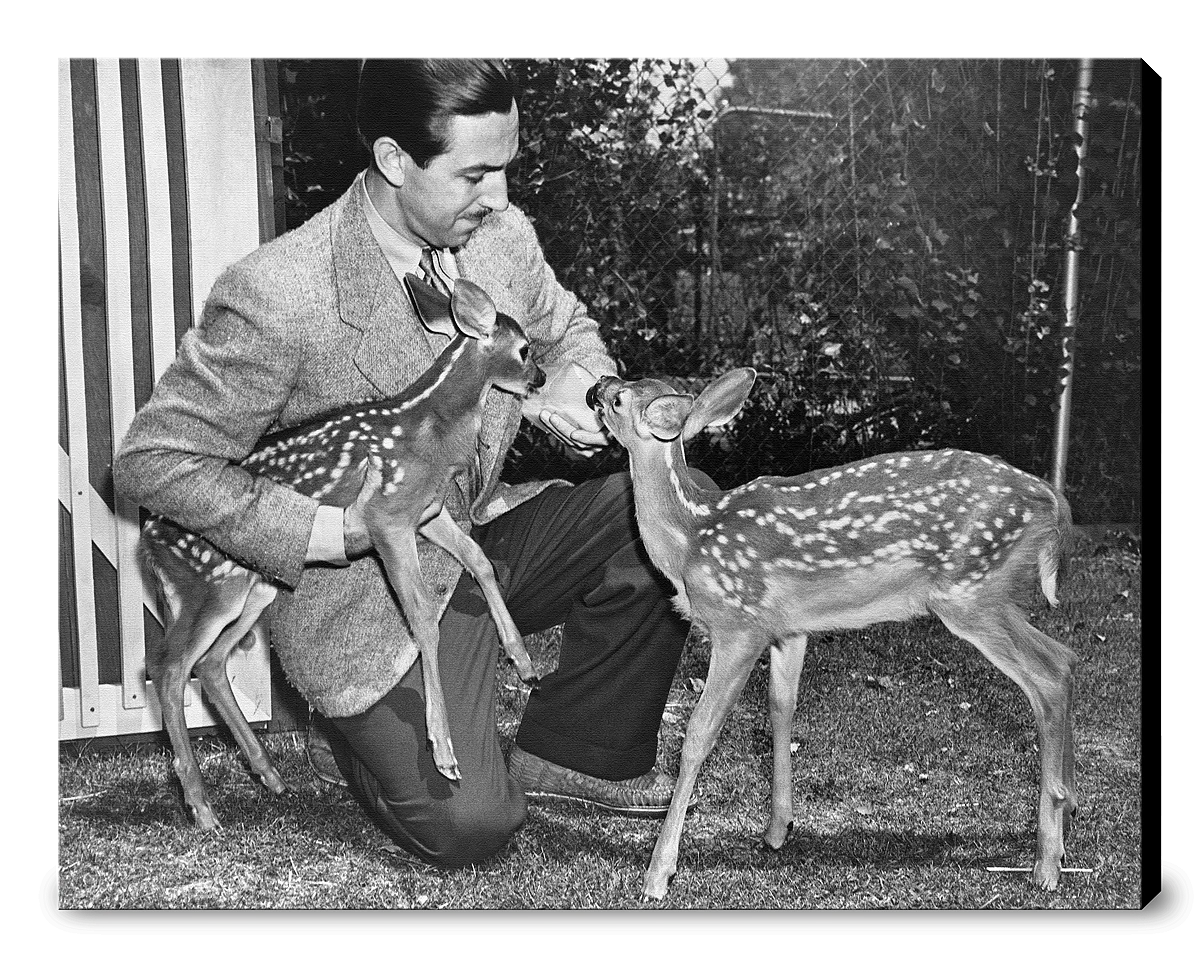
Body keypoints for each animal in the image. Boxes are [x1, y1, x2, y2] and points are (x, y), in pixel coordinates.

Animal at [140, 275, 543, 831]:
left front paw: (523, 661)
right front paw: (443, 751)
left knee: (213, 662)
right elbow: (422, 617)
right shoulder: (386, 515)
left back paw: (269, 775)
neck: (431, 424)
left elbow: (479, 561)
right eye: (524, 350)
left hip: (255, 588)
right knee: (167, 665)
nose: (541, 378)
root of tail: (148, 542)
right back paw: (201, 806)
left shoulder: (427, 511)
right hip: (207, 586)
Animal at [585, 368, 1078, 901]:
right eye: (623, 380)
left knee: (1048, 676)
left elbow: (698, 734)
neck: (690, 540)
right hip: (991, 595)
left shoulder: (740, 624)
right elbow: (780, 708)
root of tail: (1052, 503)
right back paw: (1068, 818)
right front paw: (778, 829)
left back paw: (1047, 863)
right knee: (1065, 658)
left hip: (970, 592)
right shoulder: (789, 629)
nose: (595, 386)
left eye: (618, 398)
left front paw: (658, 873)